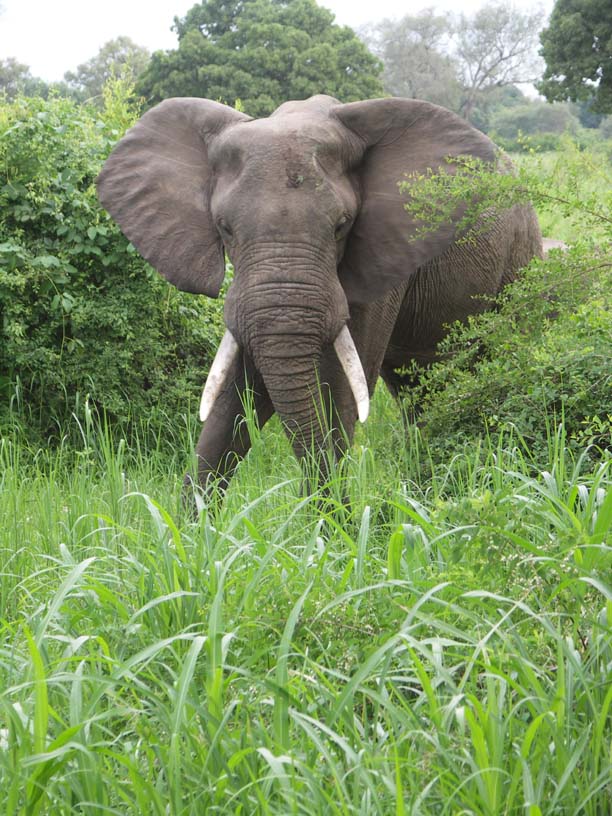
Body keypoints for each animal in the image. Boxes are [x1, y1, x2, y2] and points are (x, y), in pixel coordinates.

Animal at [96, 94, 543, 499]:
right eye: (223, 228)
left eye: (342, 226)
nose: (338, 508)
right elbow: (238, 392)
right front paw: (189, 532)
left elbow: (340, 391)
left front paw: (333, 530)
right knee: (418, 390)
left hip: (521, 253)